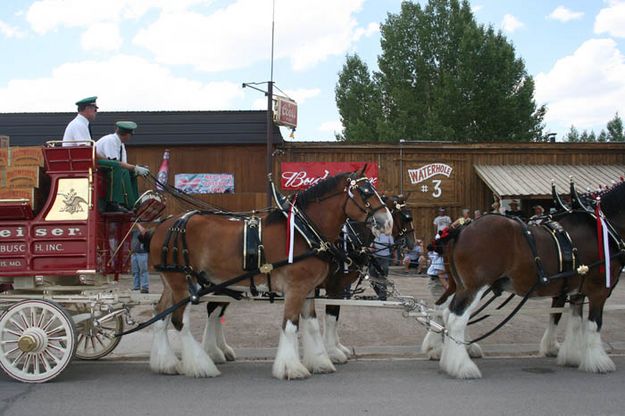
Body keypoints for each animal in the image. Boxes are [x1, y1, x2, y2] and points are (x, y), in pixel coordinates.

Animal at [147, 170, 390, 380]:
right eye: (365, 192)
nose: (387, 221)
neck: (303, 231)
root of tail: (165, 224)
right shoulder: (297, 288)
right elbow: (291, 325)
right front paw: (291, 368)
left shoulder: (308, 289)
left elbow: (311, 325)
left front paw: (320, 361)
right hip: (183, 283)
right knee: (179, 321)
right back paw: (201, 364)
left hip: (172, 283)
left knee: (161, 317)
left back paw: (166, 363)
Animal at [428, 184, 624, 378]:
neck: (599, 229)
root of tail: (460, 229)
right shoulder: (599, 290)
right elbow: (594, 324)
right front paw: (599, 362)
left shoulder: (577, 290)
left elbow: (571, 321)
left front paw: (571, 356)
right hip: (474, 286)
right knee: (456, 318)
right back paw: (462, 366)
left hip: (459, 284)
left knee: (444, 310)